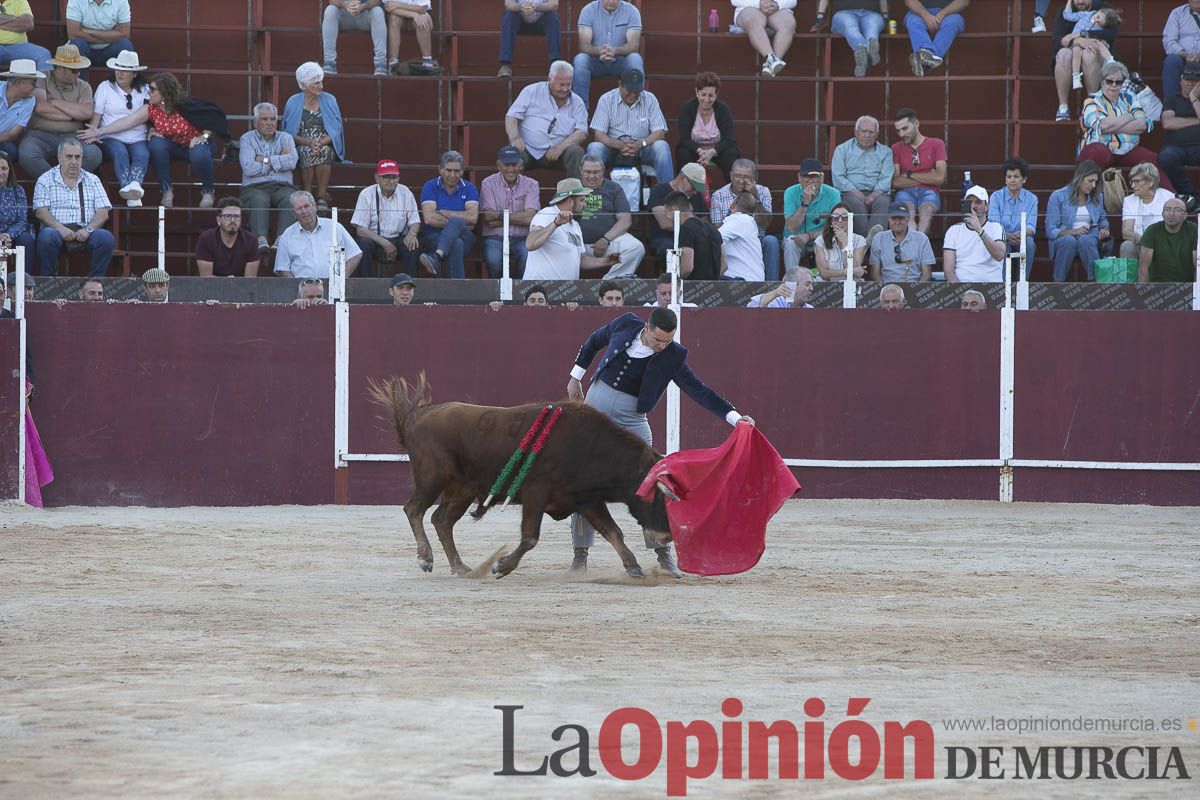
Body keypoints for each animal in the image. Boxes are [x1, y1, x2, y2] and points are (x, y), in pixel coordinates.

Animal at [369, 371, 672, 578]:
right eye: (658, 498)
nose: (667, 537)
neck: (590, 446)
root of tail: (420, 420)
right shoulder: (535, 494)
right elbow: (530, 537)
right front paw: (502, 566)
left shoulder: (587, 500)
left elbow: (614, 531)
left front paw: (634, 567)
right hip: (432, 478)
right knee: (414, 509)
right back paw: (426, 558)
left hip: (462, 489)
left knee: (442, 520)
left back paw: (461, 567)